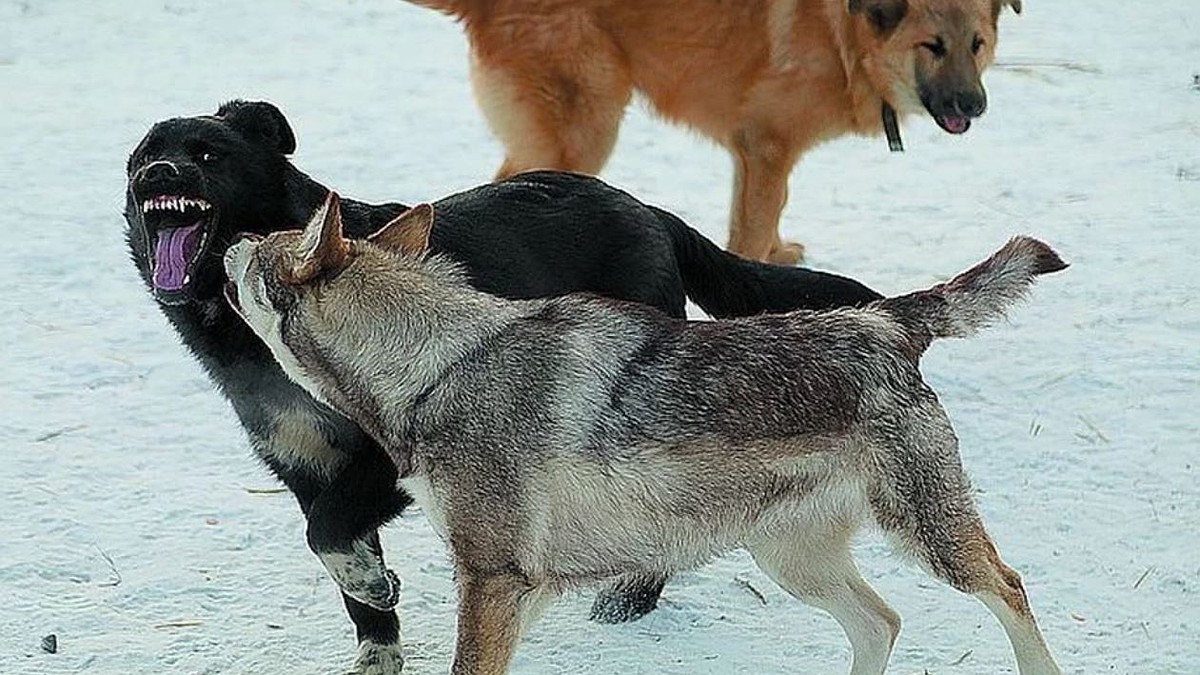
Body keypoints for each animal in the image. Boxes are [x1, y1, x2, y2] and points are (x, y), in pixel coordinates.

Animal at [124, 99, 883, 672]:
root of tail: (646, 208)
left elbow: (331, 533)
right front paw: (376, 635)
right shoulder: (306, 467)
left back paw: (629, 601)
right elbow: (340, 559)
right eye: (142, 157)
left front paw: (375, 583)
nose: (158, 173)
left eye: (209, 155)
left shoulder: (384, 467)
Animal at [226, 190, 1070, 672]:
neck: (440, 364)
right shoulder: (520, 589)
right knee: (882, 623)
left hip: (928, 539)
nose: (229, 242)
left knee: (1010, 589)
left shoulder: (494, 579)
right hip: (791, 559)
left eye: (263, 248)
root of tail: (885, 319)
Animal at [403, 0, 1022, 263]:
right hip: (584, 128)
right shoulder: (767, 144)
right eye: (932, 46)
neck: (846, 35)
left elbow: (767, 212)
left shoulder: (759, 155)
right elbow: (753, 224)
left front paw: (778, 253)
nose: (975, 104)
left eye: (977, 45)